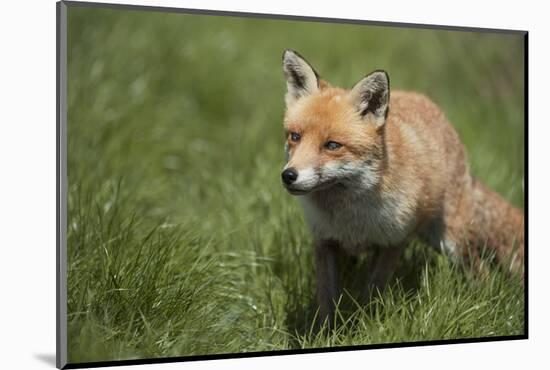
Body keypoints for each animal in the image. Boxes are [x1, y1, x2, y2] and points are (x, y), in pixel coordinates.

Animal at [282, 49, 528, 324]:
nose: (288, 175)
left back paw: (485, 305)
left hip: (452, 241)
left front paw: (366, 322)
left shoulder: (394, 241)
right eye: (295, 137)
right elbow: (326, 301)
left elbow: (373, 291)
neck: (351, 217)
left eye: (332, 145)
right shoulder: (325, 242)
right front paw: (327, 331)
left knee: (482, 272)